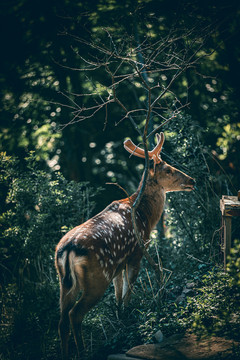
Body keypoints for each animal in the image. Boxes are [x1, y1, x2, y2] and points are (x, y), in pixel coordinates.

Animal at [55, 132, 196, 358]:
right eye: (168, 169)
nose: (192, 180)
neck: (144, 215)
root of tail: (67, 250)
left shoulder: (117, 265)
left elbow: (118, 293)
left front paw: (120, 315)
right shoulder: (136, 253)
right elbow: (129, 289)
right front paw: (128, 315)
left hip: (65, 281)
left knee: (61, 320)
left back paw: (66, 353)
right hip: (96, 278)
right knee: (74, 314)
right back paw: (84, 351)